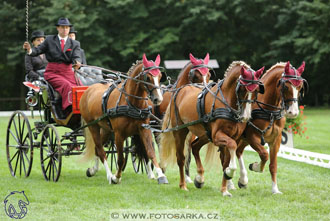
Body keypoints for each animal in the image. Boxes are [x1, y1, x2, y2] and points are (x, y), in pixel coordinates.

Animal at [79, 54, 168, 184]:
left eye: (160, 76)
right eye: (147, 77)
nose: (158, 99)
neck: (131, 103)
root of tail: (88, 90)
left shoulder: (144, 129)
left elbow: (150, 152)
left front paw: (160, 175)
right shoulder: (119, 134)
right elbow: (120, 159)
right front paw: (116, 177)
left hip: (106, 129)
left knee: (97, 149)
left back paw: (93, 170)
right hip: (93, 126)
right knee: (100, 150)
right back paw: (109, 175)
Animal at [159, 61, 264, 196]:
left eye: (256, 91)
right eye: (242, 88)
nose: (245, 116)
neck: (227, 102)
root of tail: (181, 89)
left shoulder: (230, 137)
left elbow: (226, 161)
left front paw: (224, 189)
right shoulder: (218, 136)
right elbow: (232, 147)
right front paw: (230, 173)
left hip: (205, 134)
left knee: (195, 147)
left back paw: (199, 178)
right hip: (180, 131)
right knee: (181, 158)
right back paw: (183, 185)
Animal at [229, 60, 306, 193]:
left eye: (300, 87)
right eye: (286, 86)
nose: (293, 112)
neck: (269, 111)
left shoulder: (276, 140)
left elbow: (273, 165)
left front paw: (275, 189)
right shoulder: (253, 137)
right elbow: (264, 155)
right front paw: (255, 166)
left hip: (243, 139)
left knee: (238, 151)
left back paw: (243, 180)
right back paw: (231, 183)